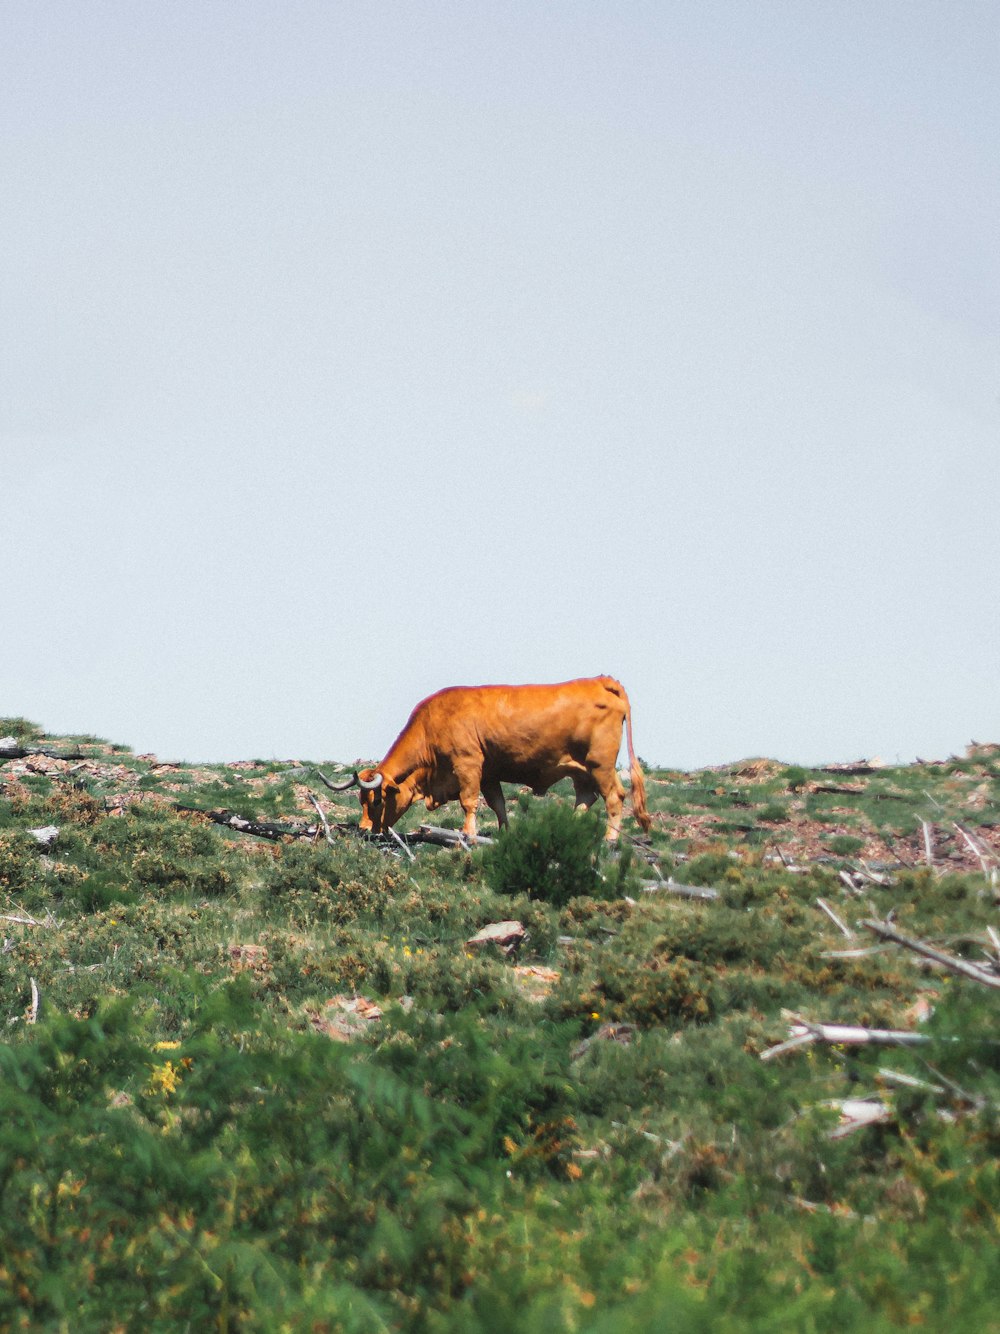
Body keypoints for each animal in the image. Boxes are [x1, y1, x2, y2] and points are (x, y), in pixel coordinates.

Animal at [330, 677, 650, 843]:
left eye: (377, 801)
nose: (363, 829)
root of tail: (601, 681)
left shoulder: (468, 766)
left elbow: (469, 802)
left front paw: (468, 835)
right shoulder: (489, 775)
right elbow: (498, 805)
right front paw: (504, 834)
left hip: (600, 765)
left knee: (615, 797)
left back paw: (610, 839)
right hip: (580, 771)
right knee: (585, 799)